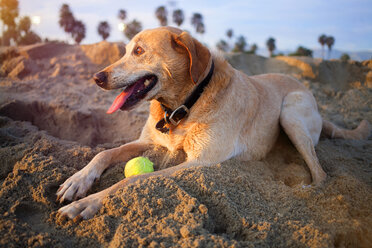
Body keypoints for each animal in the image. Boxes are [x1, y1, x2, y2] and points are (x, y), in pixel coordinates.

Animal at [56, 27, 370, 221]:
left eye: (139, 51)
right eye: (125, 51)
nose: (97, 77)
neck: (185, 104)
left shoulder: (199, 162)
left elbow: (133, 180)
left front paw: (87, 202)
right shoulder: (148, 142)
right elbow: (104, 153)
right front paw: (77, 181)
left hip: (290, 114)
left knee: (322, 173)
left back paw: (309, 190)